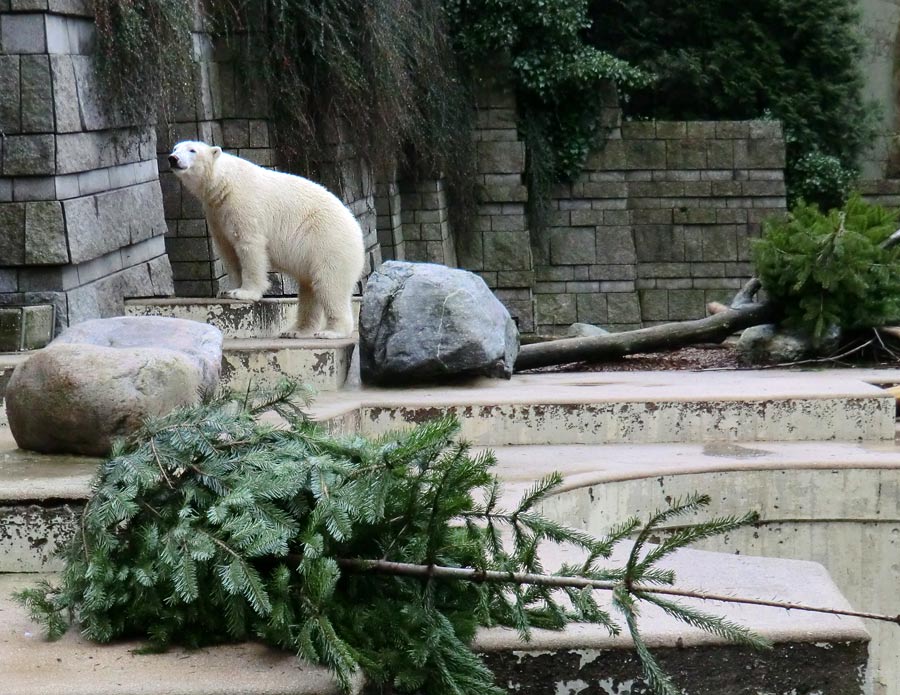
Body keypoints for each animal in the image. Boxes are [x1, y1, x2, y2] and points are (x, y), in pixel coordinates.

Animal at [167, 141, 364, 340]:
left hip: (328, 243)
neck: (224, 182)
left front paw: (244, 293)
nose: (172, 158)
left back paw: (331, 331)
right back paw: (295, 331)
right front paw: (227, 290)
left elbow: (250, 246)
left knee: (329, 285)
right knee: (310, 289)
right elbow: (228, 252)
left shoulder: (243, 205)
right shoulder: (216, 214)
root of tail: (357, 229)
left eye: (192, 150)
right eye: (175, 148)